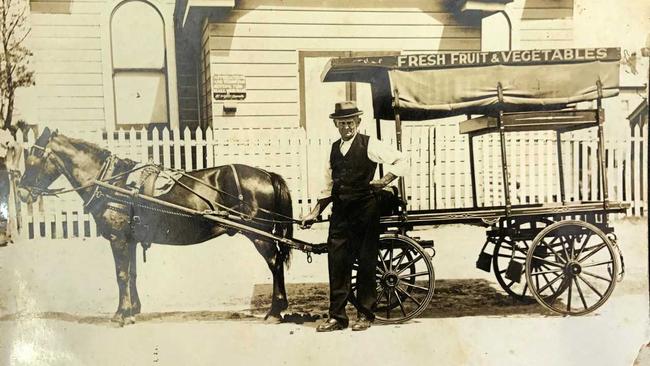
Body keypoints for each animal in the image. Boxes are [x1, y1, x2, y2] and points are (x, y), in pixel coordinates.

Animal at [15, 128, 294, 324]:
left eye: (33, 159)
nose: (21, 192)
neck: (112, 183)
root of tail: (266, 174)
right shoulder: (129, 239)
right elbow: (132, 274)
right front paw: (133, 309)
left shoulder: (117, 239)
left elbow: (121, 275)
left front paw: (121, 315)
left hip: (260, 236)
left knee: (275, 263)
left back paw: (275, 310)